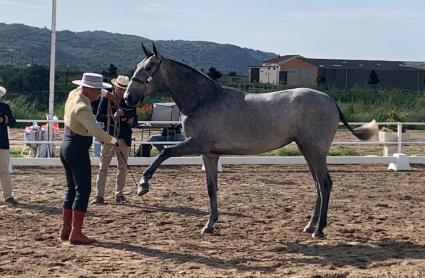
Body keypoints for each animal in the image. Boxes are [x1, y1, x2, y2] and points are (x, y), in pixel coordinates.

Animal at [123, 42, 378, 238]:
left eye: (149, 67)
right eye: (138, 66)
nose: (127, 97)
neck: (204, 99)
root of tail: (329, 100)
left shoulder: (195, 144)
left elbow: (164, 153)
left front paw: (143, 185)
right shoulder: (209, 153)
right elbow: (211, 188)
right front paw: (209, 225)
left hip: (315, 150)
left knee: (325, 184)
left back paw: (319, 230)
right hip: (306, 150)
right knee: (318, 185)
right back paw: (309, 226)